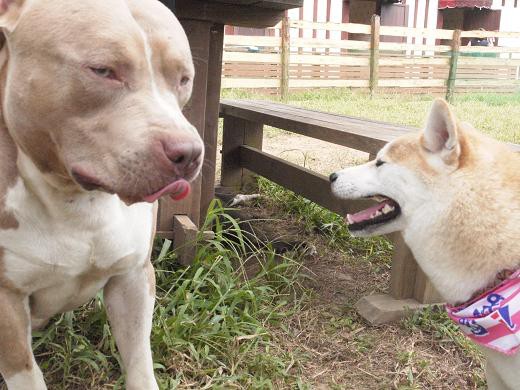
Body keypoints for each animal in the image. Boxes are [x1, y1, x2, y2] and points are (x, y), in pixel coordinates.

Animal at [0, 0, 203, 390]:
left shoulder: (134, 278)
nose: (188, 153)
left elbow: (139, 363)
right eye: (103, 70)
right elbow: (27, 375)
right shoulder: (6, 304)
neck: (77, 201)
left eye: (184, 79)